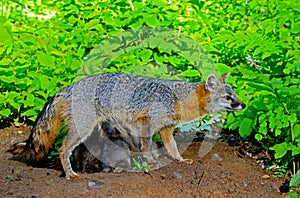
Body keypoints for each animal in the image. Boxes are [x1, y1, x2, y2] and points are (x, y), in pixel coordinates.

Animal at [9, 71, 245, 179]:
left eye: (235, 95)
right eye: (228, 98)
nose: (243, 105)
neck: (176, 97)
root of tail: (69, 86)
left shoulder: (165, 129)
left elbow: (173, 148)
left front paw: (179, 160)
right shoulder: (146, 124)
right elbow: (146, 148)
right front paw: (151, 164)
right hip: (82, 130)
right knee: (62, 149)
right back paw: (70, 174)